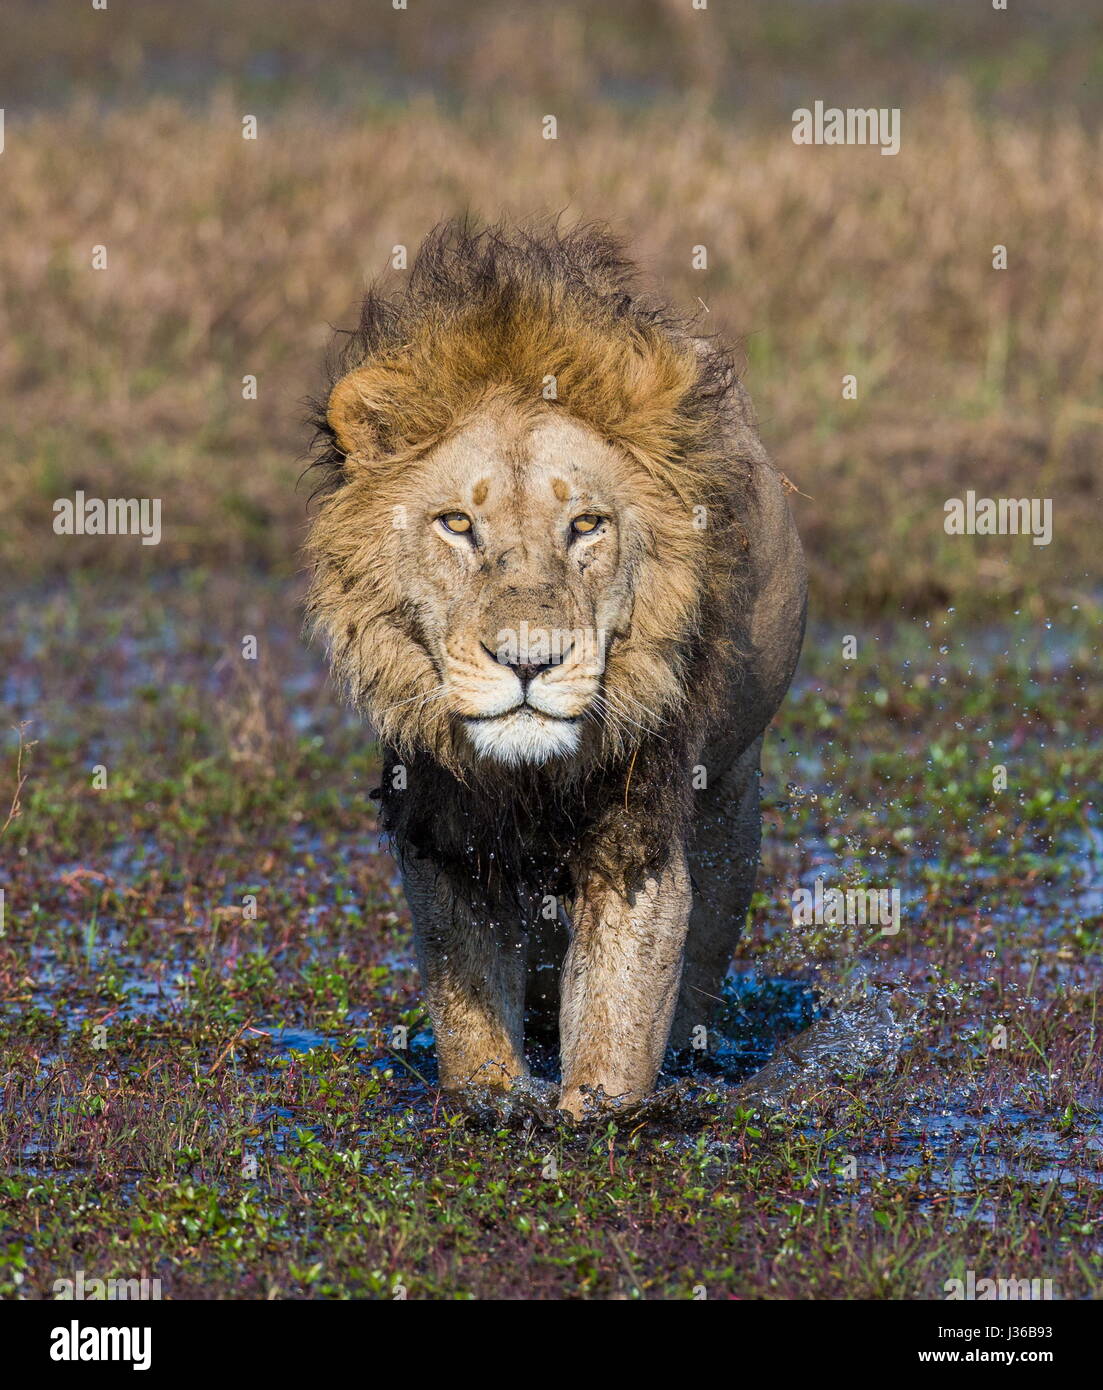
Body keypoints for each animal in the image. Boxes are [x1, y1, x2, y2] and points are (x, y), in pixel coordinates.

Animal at [305, 219, 805, 1117]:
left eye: (586, 525)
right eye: (456, 524)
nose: (528, 661)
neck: (529, 777)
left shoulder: (638, 832)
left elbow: (620, 1011)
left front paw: (595, 1114)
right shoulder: (442, 827)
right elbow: (468, 1006)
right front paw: (493, 1102)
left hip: (731, 792)